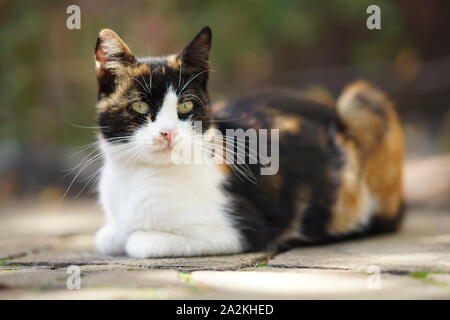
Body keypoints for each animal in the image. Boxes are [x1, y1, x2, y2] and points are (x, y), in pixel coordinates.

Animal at [94, 26, 404, 258]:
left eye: (185, 106)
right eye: (140, 107)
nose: (168, 132)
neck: (139, 176)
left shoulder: (242, 230)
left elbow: (138, 242)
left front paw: (134, 237)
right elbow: (106, 238)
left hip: (362, 104)